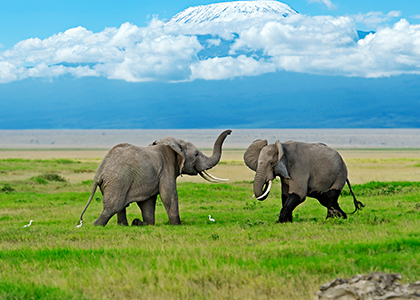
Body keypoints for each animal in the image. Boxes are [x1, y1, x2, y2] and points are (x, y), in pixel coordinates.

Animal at [77, 130, 231, 226]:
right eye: (197, 154)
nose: (230, 132)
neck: (174, 144)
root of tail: (100, 170)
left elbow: (148, 202)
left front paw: (145, 223)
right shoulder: (166, 169)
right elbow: (169, 195)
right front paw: (177, 225)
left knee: (119, 207)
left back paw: (126, 225)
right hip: (117, 181)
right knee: (112, 207)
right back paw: (96, 225)